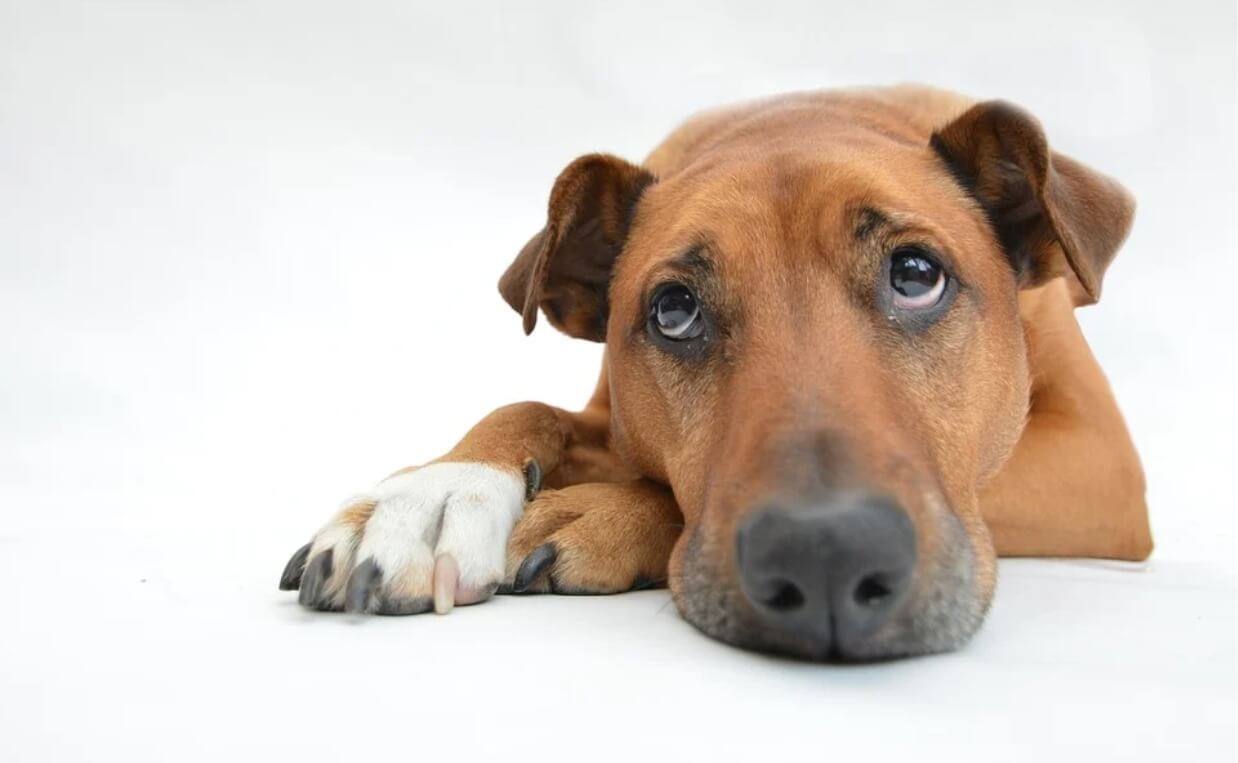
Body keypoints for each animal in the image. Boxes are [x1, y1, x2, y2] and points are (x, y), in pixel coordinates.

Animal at [278, 81, 1148, 654]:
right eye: (673, 311)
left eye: (915, 274)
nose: (827, 555)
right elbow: (528, 406)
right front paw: (435, 492)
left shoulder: (1100, 461)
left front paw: (602, 511)